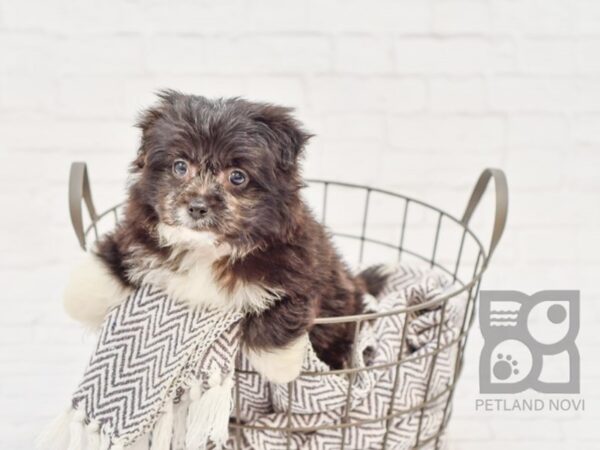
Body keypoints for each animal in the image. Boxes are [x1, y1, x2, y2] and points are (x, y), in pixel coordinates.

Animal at [64, 91, 384, 384]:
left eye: (237, 177)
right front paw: (79, 295)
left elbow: (282, 310)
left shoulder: (303, 268)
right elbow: (119, 250)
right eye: (180, 166)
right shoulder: (139, 231)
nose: (197, 207)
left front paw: (279, 365)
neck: (207, 248)